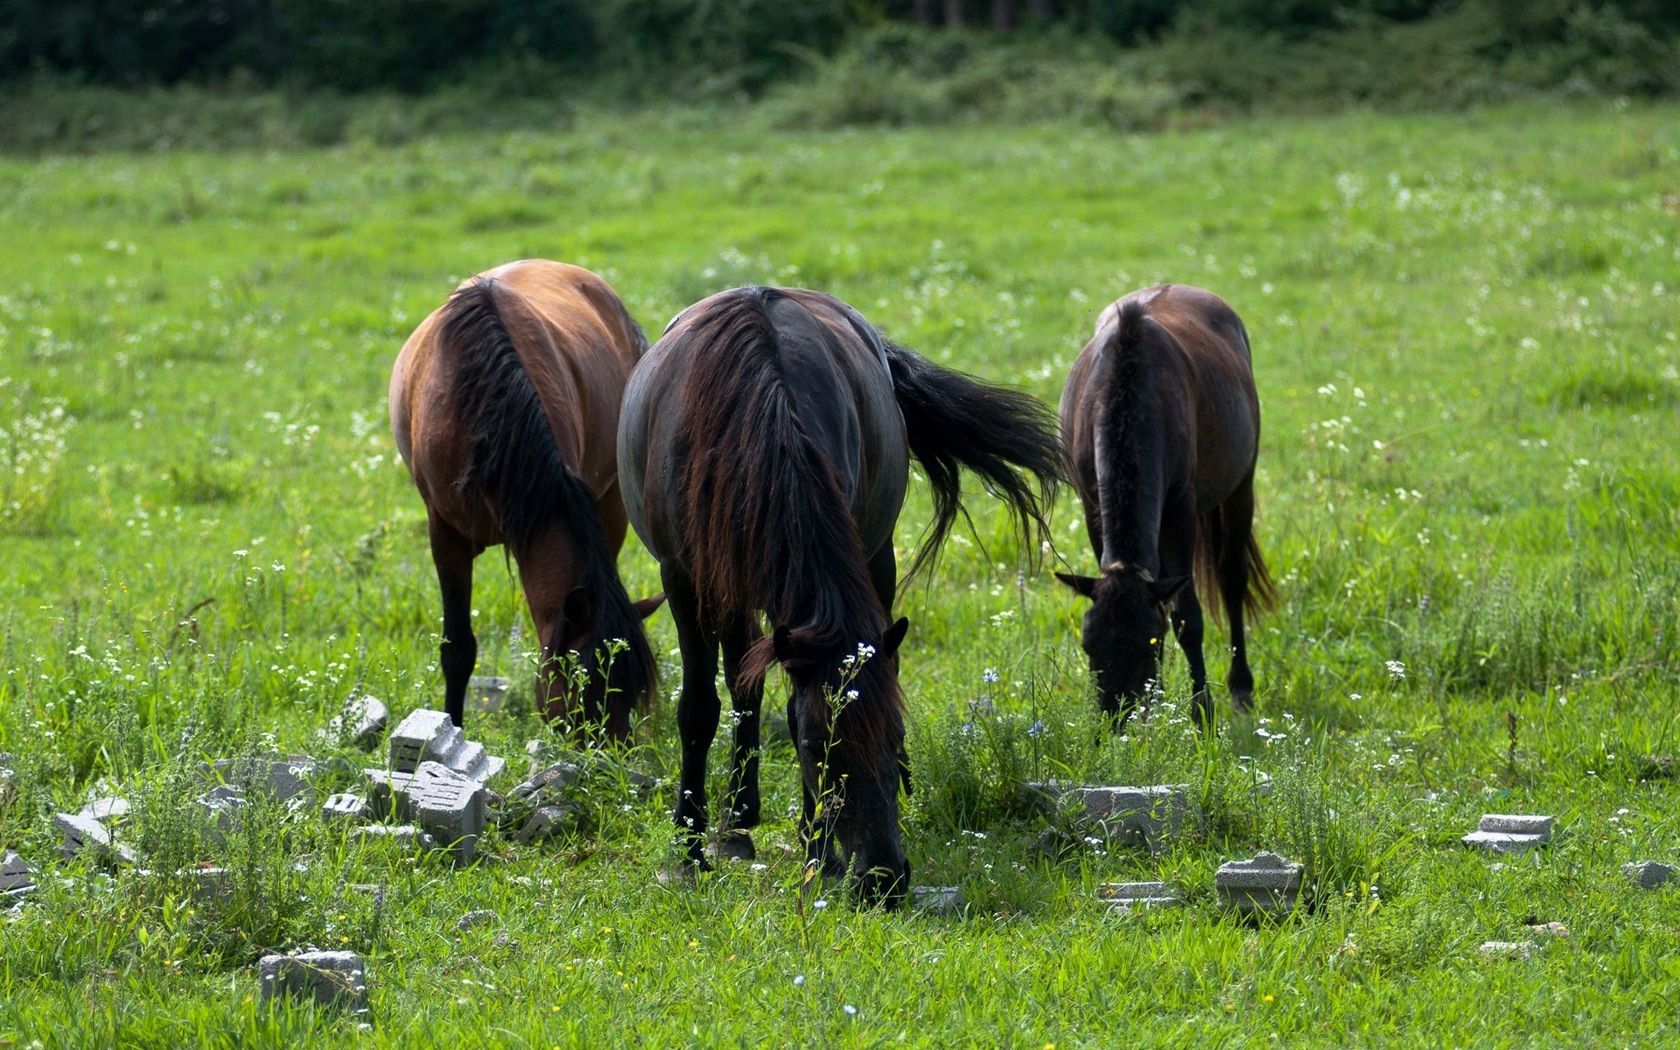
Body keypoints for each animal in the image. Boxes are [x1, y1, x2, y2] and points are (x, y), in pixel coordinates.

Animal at [389, 260, 658, 735]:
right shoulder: (444, 533)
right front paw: (452, 727)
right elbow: (458, 647)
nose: (613, 751)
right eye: (583, 689)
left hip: (612, 502)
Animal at [618, 282, 1061, 907]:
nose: (883, 879)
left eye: (897, 737)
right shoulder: (683, 577)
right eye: (810, 746)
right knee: (740, 681)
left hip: (870, 556)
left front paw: (817, 854)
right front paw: (688, 852)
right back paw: (734, 828)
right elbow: (700, 708)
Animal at [1055, 287, 1276, 729]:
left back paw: (1241, 688)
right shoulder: (1092, 505)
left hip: (1240, 486)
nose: (1115, 723)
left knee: (1232, 578)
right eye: (1089, 646)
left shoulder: (1179, 510)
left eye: (1149, 644)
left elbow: (1187, 616)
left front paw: (1202, 711)